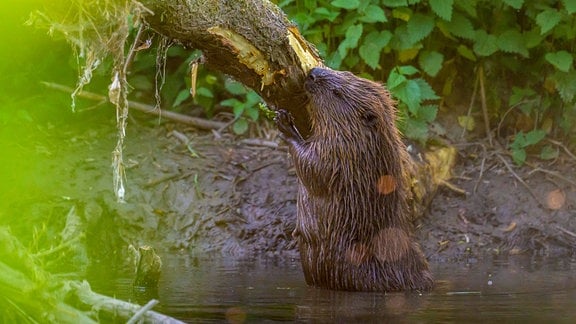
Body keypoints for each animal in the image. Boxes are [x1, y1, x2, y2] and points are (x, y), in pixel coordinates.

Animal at [276, 66, 432, 292]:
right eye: (347, 73)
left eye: (337, 93)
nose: (313, 72)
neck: (362, 143)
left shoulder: (339, 153)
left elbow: (312, 166)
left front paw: (285, 123)